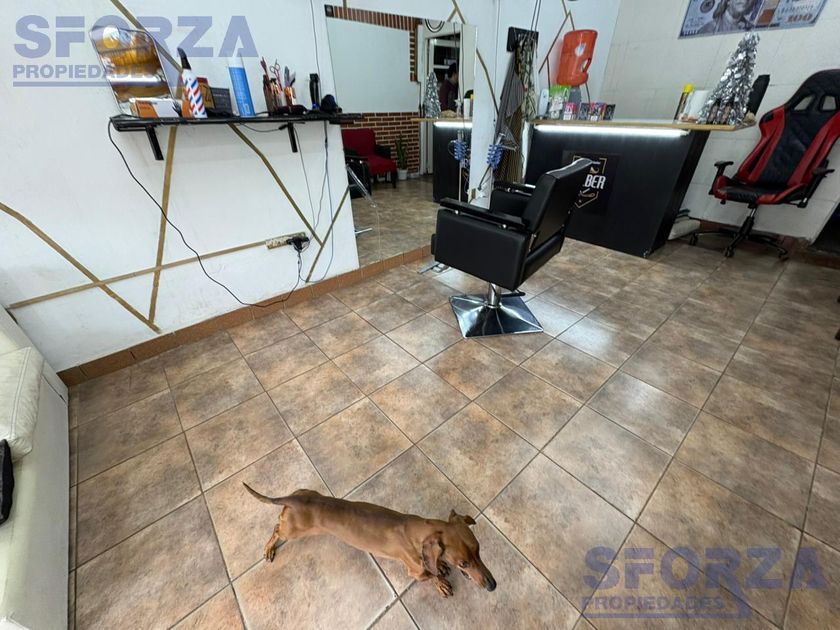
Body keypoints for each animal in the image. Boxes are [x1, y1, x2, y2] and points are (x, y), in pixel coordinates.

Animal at [243, 485, 496, 597]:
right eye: (463, 563)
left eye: (479, 550)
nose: (493, 586)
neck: (418, 531)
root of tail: (293, 498)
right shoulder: (414, 572)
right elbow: (431, 575)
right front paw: (441, 582)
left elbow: (435, 563)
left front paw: (441, 565)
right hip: (293, 531)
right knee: (276, 529)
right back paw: (269, 548)